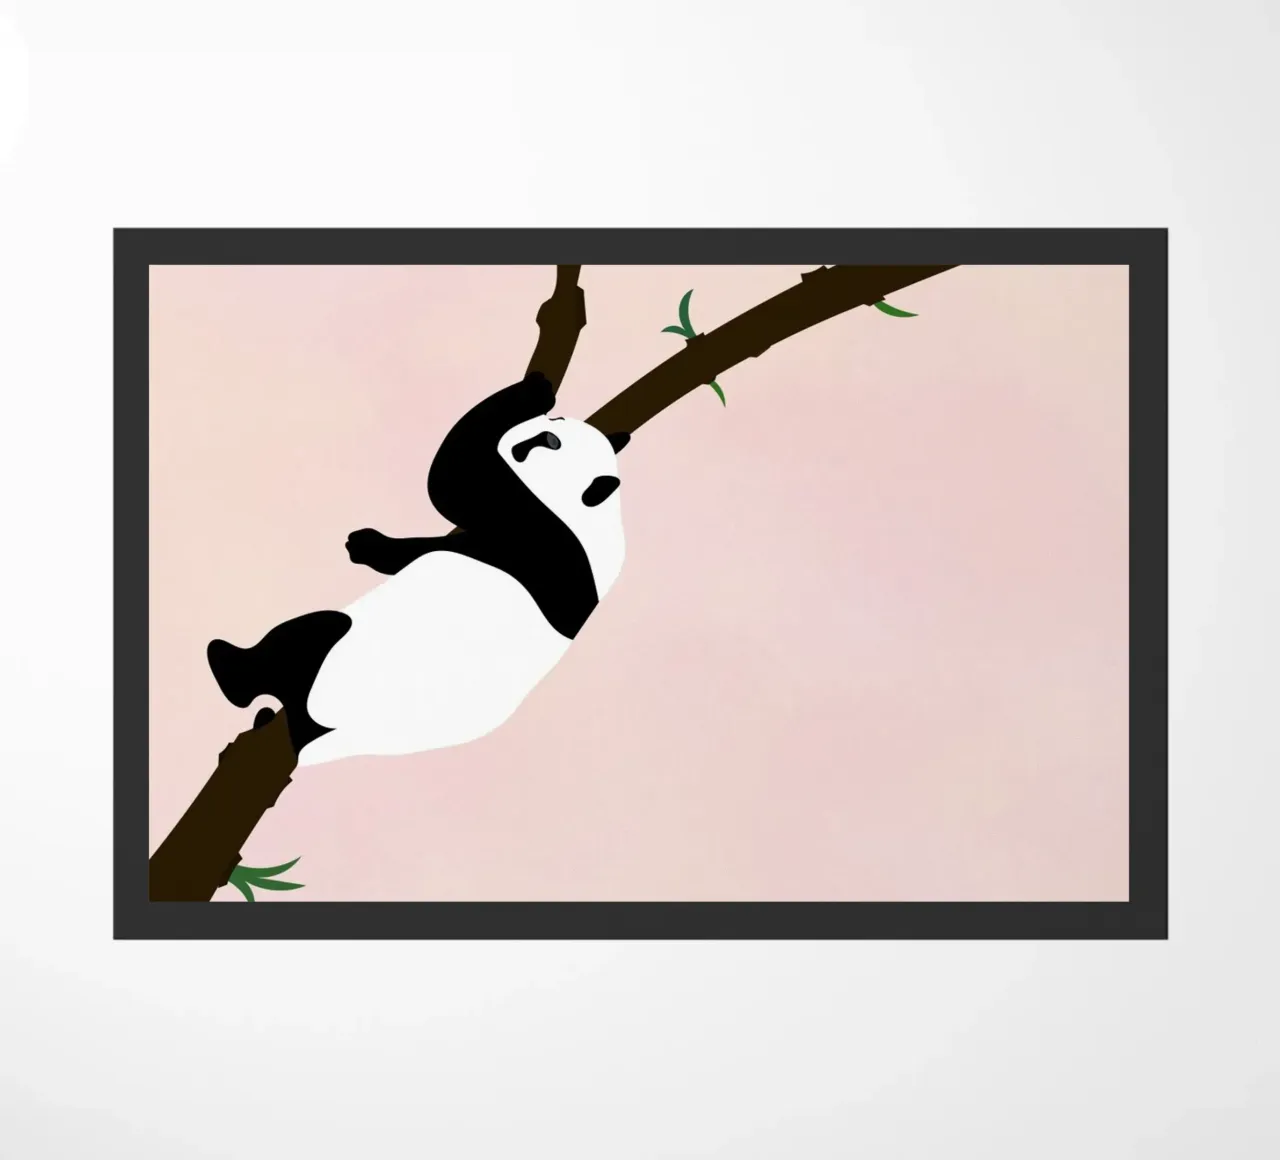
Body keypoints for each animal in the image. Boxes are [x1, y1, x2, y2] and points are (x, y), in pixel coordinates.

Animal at [205, 371, 631, 767]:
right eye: (554, 428)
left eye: (551, 441)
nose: (522, 444)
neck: (594, 513)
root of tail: (334, 739)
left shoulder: (534, 534)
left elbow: (453, 481)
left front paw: (534, 390)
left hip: (332, 669)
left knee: (301, 639)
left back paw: (227, 665)